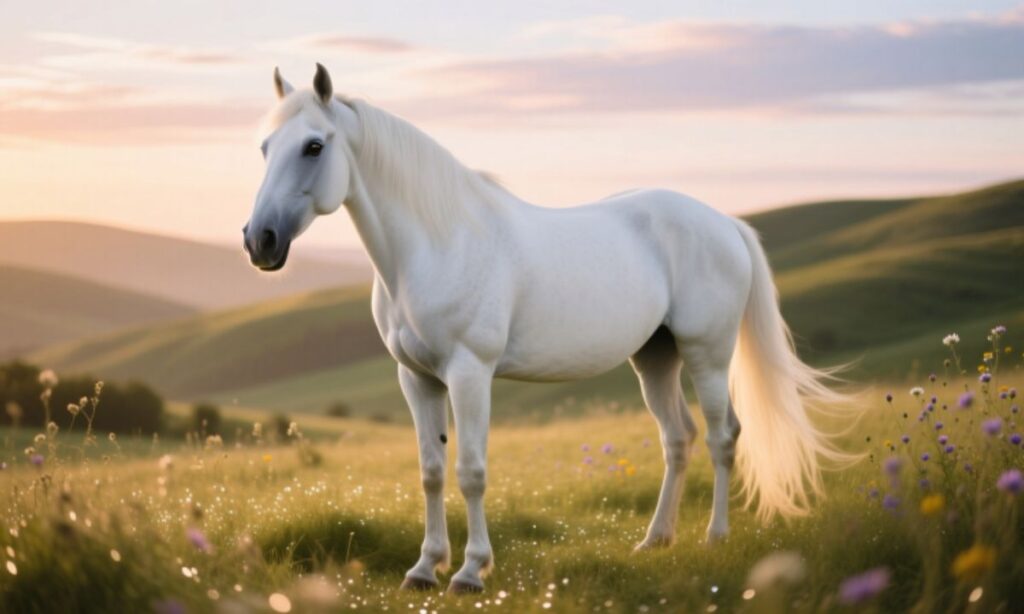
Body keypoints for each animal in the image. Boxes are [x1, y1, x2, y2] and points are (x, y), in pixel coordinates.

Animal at [243, 64, 850, 594]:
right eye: (265, 147)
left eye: (314, 146)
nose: (259, 241)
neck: (437, 242)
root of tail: (725, 223)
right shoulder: (416, 378)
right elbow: (432, 470)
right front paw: (423, 569)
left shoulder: (470, 373)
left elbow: (471, 470)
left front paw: (469, 573)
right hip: (655, 358)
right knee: (678, 439)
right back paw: (655, 541)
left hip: (708, 354)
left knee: (724, 438)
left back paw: (715, 538)